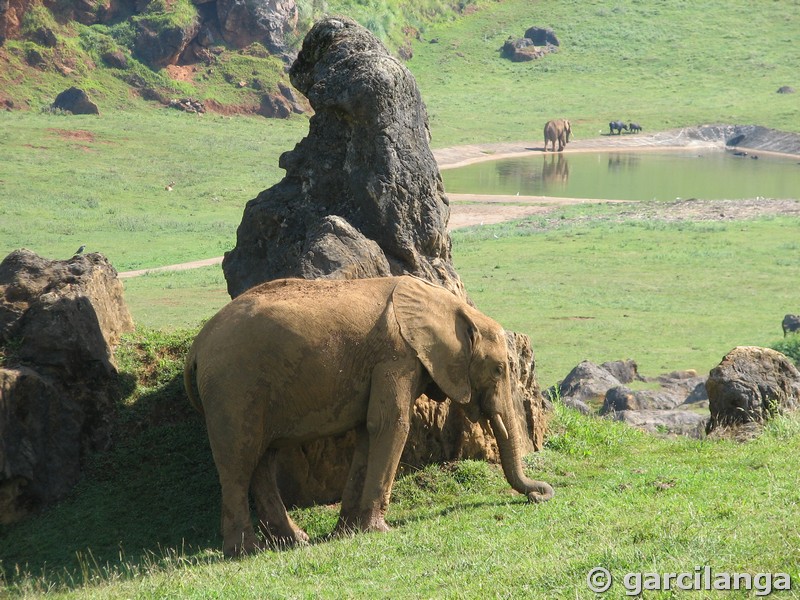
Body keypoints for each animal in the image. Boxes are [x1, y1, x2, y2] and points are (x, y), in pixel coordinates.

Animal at [184, 274, 552, 556]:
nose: (540, 495)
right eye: (499, 369)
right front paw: (379, 530)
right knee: (239, 459)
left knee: (262, 459)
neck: (447, 305)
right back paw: (246, 551)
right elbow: (391, 425)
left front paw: (346, 532)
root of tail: (196, 348)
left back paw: (295, 541)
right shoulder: (397, 355)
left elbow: (368, 431)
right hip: (232, 388)